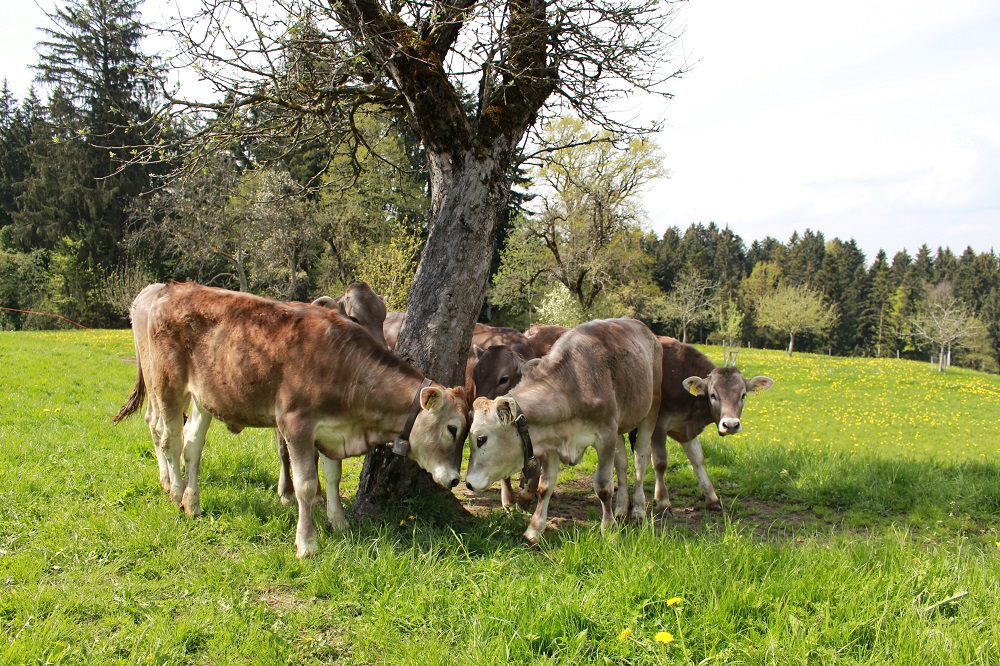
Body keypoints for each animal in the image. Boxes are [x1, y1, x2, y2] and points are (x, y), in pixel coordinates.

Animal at [113, 280, 468, 556]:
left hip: (205, 399)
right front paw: (307, 543)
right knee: (167, 437)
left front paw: (339, 522)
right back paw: (174, 492)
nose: (454, 479)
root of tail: (168, 289)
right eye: (452, 429)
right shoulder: (295, 423)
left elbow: (333, 476)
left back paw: (192, 502)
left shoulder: (332, 428)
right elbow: (306, 484)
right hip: (167, 385)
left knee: (191, 446)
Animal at [466, 318, 664, 544]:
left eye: (482, 439)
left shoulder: (606, 436)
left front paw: (609, 530)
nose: (468, 483)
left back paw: (638, 509)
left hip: (651, 410)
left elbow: (603, 487)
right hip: (620, 424)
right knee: (622, 463)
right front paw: (534, 530)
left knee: (641, 460)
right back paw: (622, 508)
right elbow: (545, 486)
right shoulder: (553, 441)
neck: (575, 383)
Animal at [648, 334, 772, 510]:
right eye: (713, 395)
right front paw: (663, 501)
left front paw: (711, 497)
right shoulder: (658, 424)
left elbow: (697, 458)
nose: (731, 425)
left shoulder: (685, 426)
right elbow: (660, 462)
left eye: (743, 395)